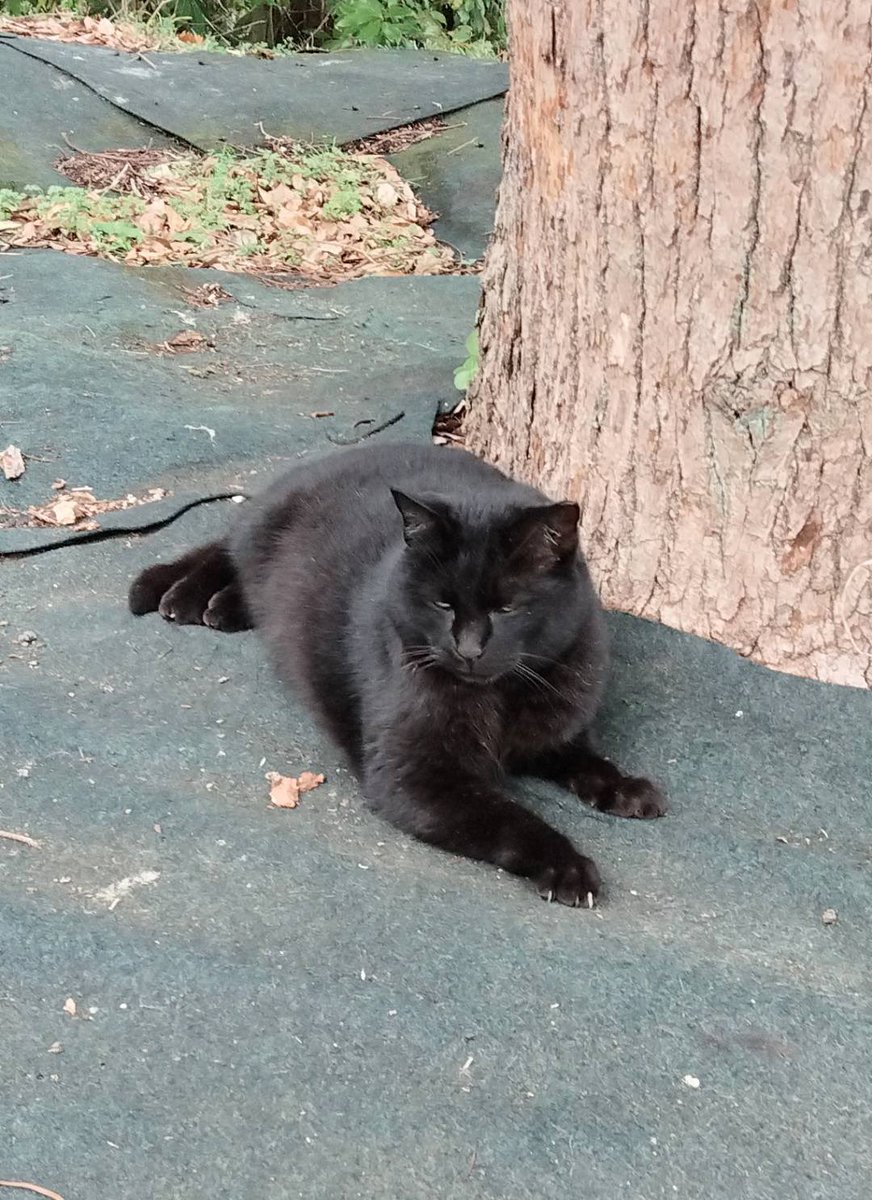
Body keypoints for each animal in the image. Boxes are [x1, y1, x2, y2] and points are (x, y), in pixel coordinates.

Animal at [129, 446, 666, 902]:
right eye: (443, 604)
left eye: (507, 608)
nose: (468, 649)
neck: (499, 701)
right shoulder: (416, 777)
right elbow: (512, 819)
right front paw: (566, 865)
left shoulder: (555, 732)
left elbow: (586, 759)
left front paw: (624, 788)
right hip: (261, 533)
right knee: (225, 547)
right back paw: (175, 593)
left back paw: (222, 606)